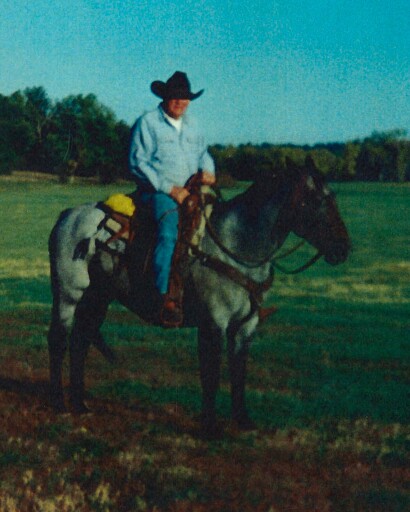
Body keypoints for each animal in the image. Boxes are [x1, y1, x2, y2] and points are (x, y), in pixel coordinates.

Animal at [47, 157, 350, 436]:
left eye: (333, 196)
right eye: (315, 200)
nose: (343, 248)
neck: (237, 245)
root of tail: (67, 215)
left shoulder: (246, 326)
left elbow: (238, 371)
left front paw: (243, 420)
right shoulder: (214, 322)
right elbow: (211, 373)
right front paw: (211, 427)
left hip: (97, 298)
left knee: (81, 340)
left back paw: (80, 404)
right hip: (68, 294)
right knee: (59, 340)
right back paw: (59, 403)